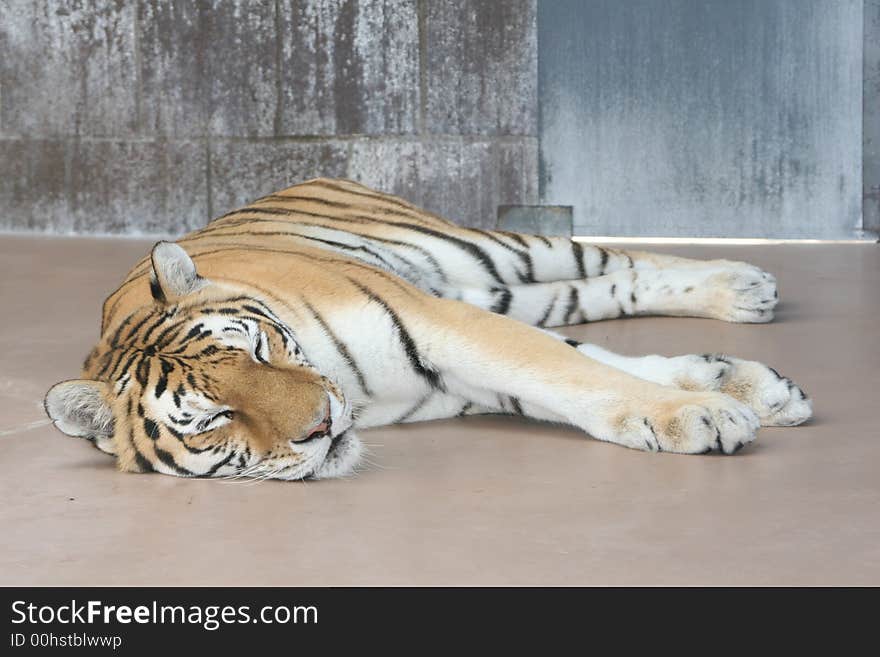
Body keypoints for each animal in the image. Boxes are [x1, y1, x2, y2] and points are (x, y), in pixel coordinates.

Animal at [41, 177, 812, 480]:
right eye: (214, 418)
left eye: (258, 348)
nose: (323, 424)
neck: (356, 391)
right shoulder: (451, 368)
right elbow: (581, 371)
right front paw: (723, 396)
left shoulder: (442, 323)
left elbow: (573, 372)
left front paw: (702, 413)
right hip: (490, 285)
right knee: (590, 297)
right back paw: (750, 361)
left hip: (483, 251)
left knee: (620, 260)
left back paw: (745, 285)